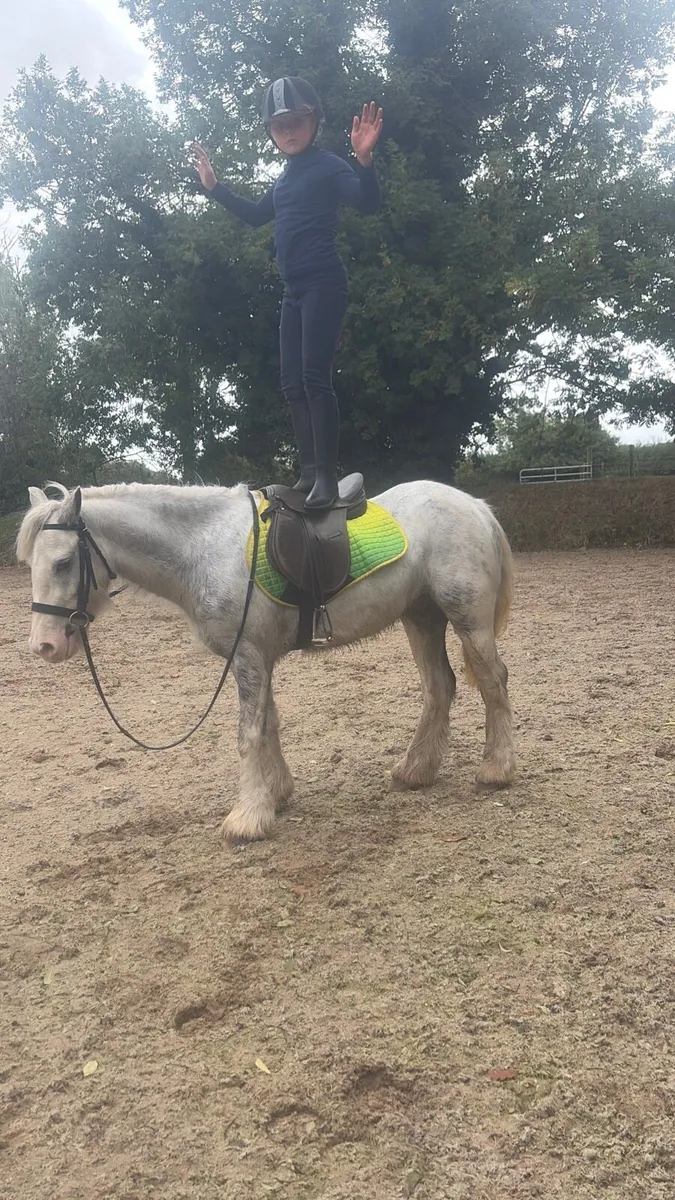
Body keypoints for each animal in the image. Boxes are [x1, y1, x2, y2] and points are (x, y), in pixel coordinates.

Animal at [17, 480, 516, 842]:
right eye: (31, 565)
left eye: (63, 563)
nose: (44, 646)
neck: (204, 549)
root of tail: (475, 505)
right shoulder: (258, 656)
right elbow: (269, 723)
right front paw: (276, 795)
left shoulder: (247, 657)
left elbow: (248, 733)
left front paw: (248, 818)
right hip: (422, 617)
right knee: (439, 686)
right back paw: (416, 771)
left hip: (467, 619)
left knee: (494, 681)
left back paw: (496, 770)